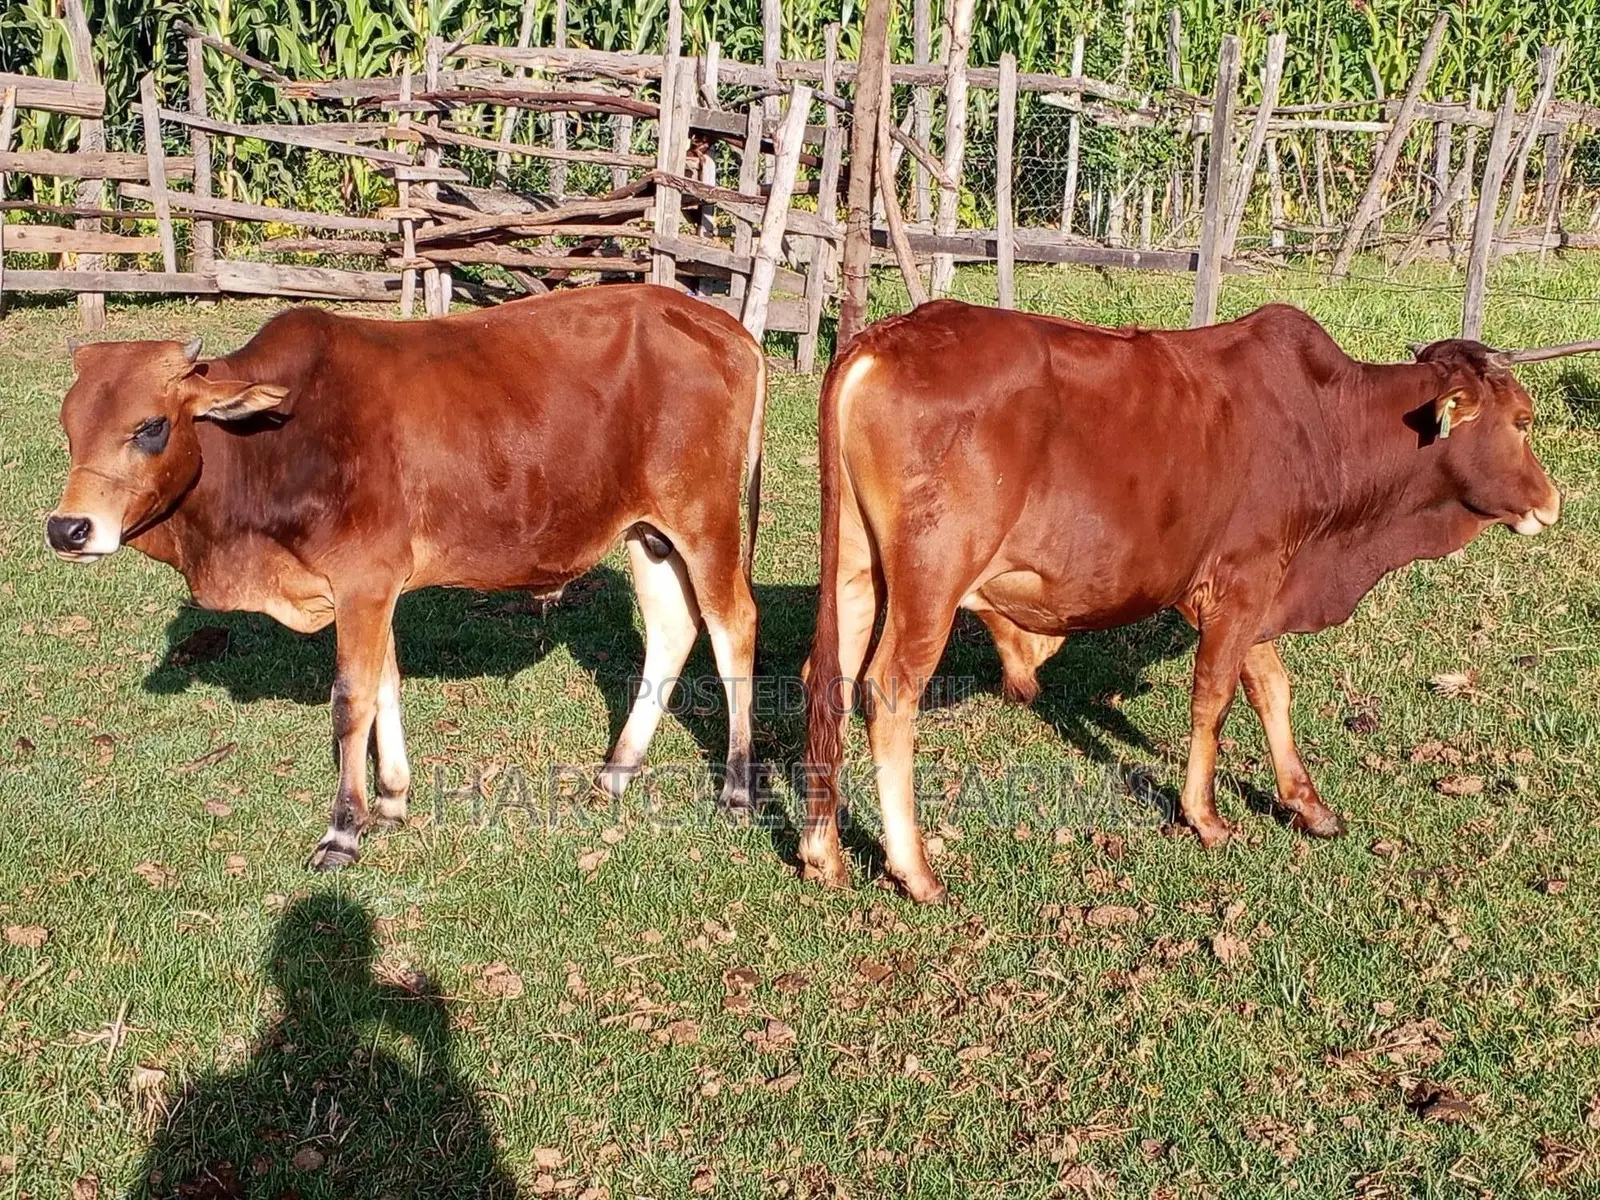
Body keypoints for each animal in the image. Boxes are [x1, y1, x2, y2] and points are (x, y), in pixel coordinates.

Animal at [46, 284, 765, 870]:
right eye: (69, 427)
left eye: (150, 426)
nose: (68, 529)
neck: (274, 443)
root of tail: (729, 330)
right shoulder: (373, 586)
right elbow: (387, 683)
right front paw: (391, 800)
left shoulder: (363, 580)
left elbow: (351, 700)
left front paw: (344, 830)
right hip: (649, 534)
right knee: (672, 630)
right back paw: (616, 771)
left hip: (704, 519)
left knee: (733, 625)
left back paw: (735, 790)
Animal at [801, 300, 1593, 904]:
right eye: (1523, 420)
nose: (1552, 502)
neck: (1327, 423)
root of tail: (883, 338)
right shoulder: (1244, 579)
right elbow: (1215, 696)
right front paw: (1205, 817)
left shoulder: (1248, 585)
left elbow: (1271, 686)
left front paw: (1307, 802)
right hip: (931, 580)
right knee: (888, 690)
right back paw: (915, 869)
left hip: (856, 568)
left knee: (826, 679)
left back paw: (822, 851)